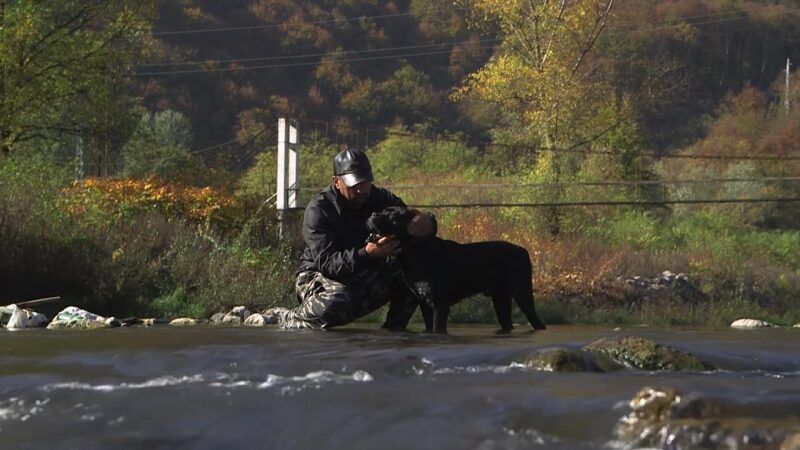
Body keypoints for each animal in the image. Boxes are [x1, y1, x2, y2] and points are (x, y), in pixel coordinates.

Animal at [366, 206, 548, 332]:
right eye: (382, 210)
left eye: (394, 215)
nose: (373, 214)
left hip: (522, 292)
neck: (413, 250)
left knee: (537, 321)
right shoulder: (426, 305)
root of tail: (522, 250)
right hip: (501, 298)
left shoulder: (439, 305)